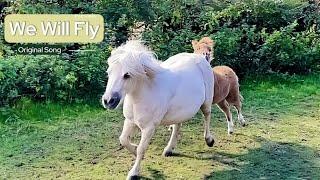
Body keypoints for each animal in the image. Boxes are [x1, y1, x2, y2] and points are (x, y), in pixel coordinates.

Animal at [101, 40, 214, 179]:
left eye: (127, 75)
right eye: (109, 72)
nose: (108, 101)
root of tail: (200, 57)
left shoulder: (149, 128)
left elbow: (141, 149)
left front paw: (133, 173)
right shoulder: (130, 121)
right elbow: (123, 140)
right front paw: (134, 150)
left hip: (206, 102)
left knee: (207, 115)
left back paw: (209, 140)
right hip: (179, 112)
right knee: (177, 126)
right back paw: (168, 150)